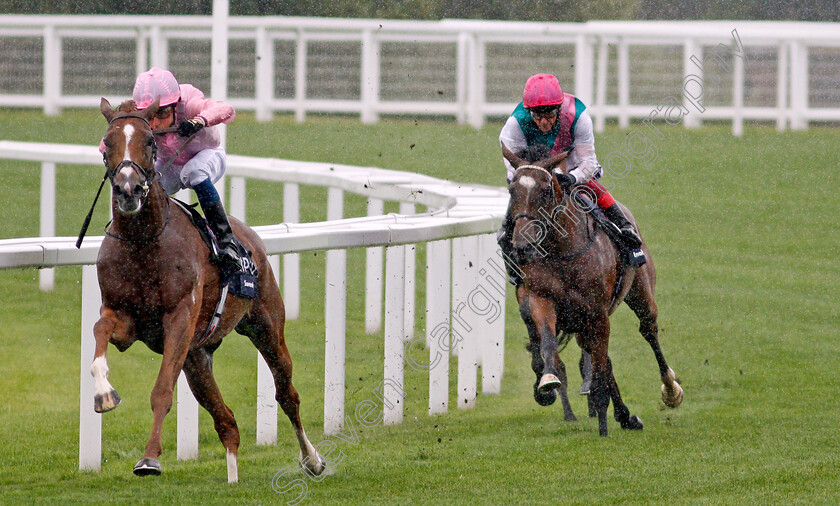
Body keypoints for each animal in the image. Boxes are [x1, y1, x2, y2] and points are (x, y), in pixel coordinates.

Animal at [92, 99, 324, 482]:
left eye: (150, 142)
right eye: (107, 143)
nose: (128, 190)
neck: (144, 241)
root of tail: (250, 235)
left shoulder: (180, 318)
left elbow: (161, 390)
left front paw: (149, 458)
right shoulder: (123, 318)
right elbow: (100, 331)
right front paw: (103, 393)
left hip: (265, 326)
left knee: (286, 393)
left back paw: (312, 460)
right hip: (197, 357)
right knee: (226, 421)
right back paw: (233, 478)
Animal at [498, 145, 684, 434]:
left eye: (547, 190)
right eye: (511, 190)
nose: (522, 246)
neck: (562, 251)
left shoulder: (598, 311)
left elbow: (601, 363)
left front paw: (604, 413)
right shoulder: (540, 297)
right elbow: (549, 342)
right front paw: (548, 381)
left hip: (640, 292)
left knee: (648, 331)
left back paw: (669, 390)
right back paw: (621, 413)